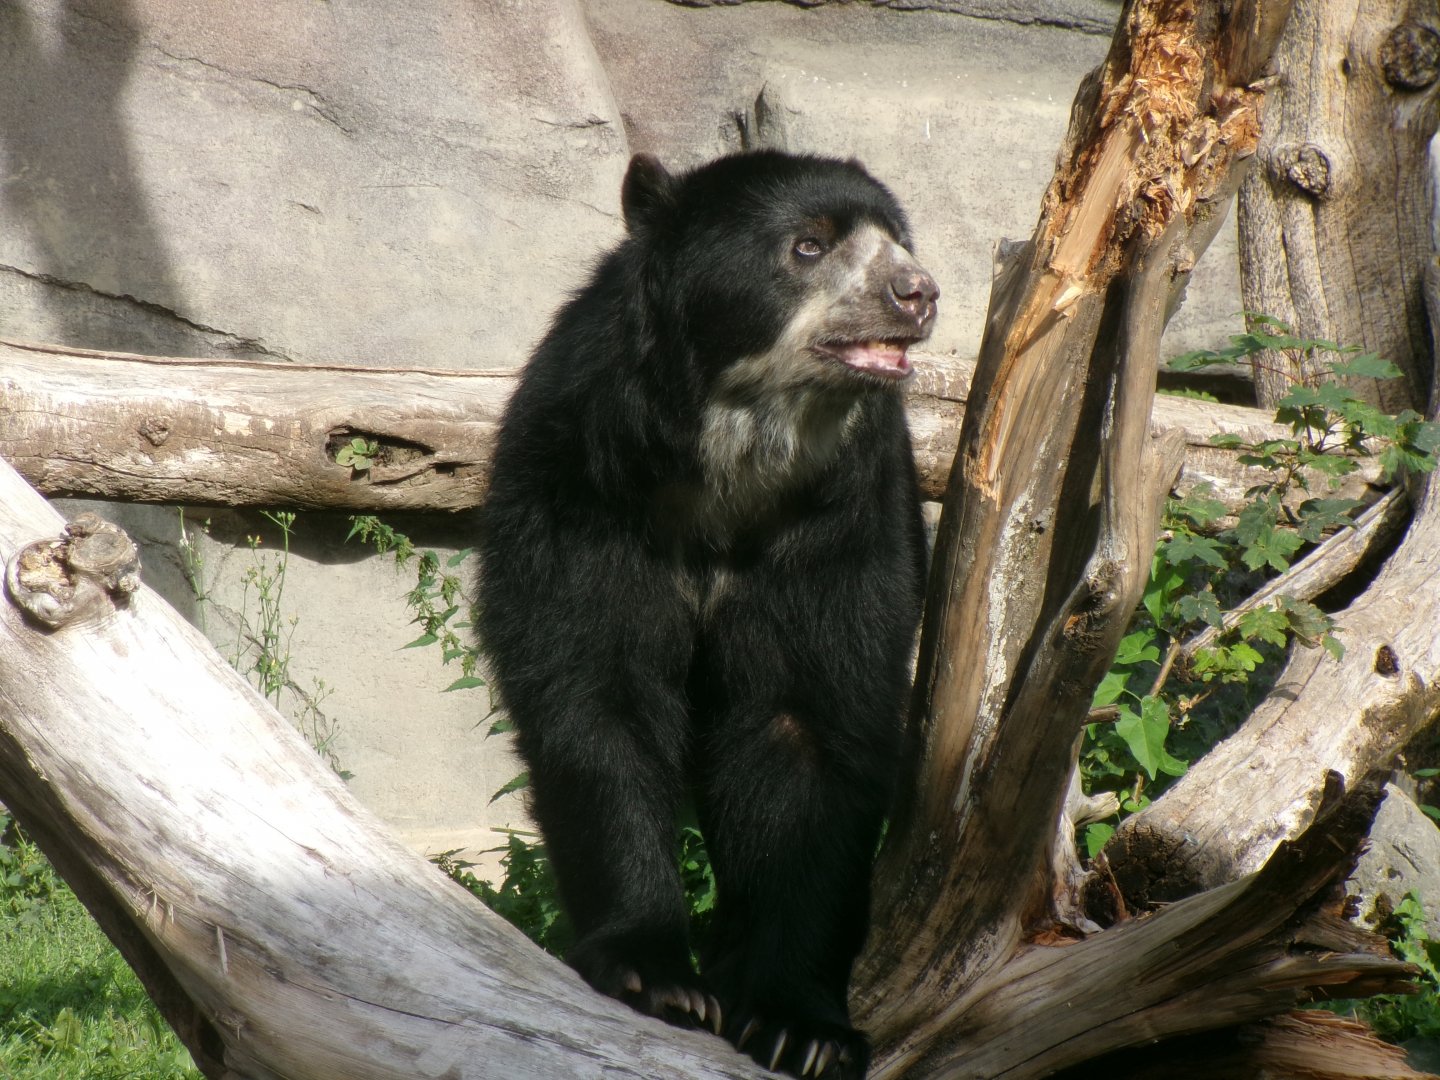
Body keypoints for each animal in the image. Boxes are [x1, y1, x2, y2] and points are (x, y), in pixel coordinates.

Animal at [477, 149, 937, 1079]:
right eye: (808, 245)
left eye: (896, 238)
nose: (917, 292)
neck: (736, 462)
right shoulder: (582, 491)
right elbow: (596, 695)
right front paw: (657, 977)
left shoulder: (836, 525)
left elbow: (809, 722)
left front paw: (801, 1027)